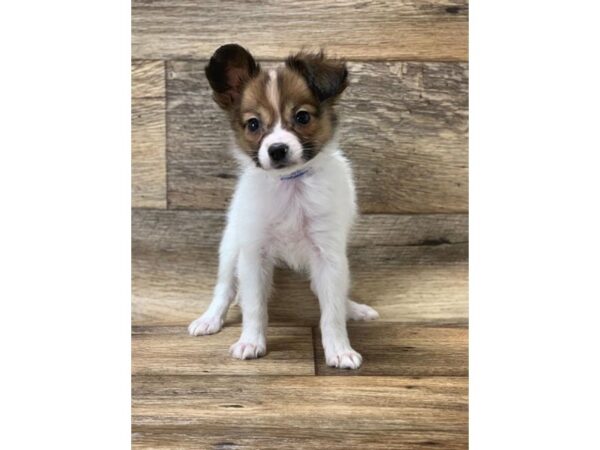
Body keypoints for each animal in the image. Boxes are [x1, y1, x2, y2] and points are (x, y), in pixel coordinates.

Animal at [188, 43, 378, 370]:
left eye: (302, 117)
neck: (290, 185)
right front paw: (250, 341)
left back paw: (352, 308)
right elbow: (254, 305)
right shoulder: (253, 253)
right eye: (253, 124)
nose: (277, 149)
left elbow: (331, 311)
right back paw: (210, 319)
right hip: (231, 248)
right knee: (225, 288)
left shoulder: (328, 255)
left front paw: (339, 349)